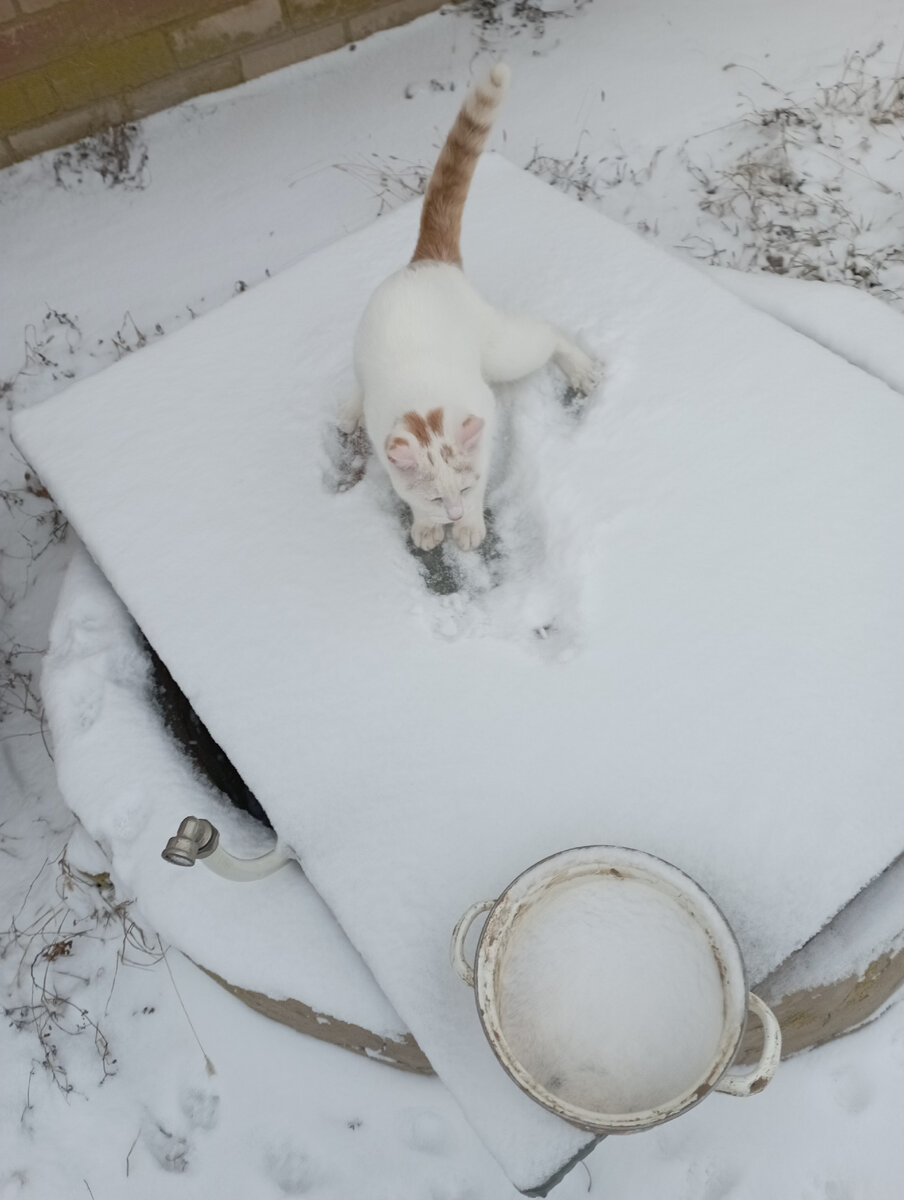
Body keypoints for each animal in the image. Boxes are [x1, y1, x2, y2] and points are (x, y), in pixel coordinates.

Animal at [338, 63, 600, 549]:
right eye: (436, 498)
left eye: (461, 490)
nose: (455, 513)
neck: (424, 409)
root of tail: (425, 260)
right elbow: (407, 494)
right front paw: (425, 524)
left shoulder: (484, 417)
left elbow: (482, 480)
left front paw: (471, 524)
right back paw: (348, 409)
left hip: (502, 352)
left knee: (548, 333)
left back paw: (578, 366)